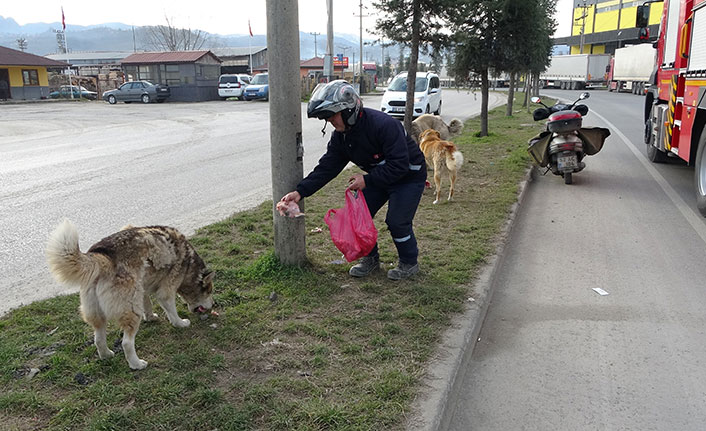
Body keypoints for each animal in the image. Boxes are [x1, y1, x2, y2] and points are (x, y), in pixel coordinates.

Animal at [45, 221, 213, 370]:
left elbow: (147, 304)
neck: (189, 263)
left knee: (98, 339)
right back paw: (136, 364)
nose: (213, 306)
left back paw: (106, 355)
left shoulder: (142, 288)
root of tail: (102, 258)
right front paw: (180, 323)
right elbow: (171, 310)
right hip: (131, 310)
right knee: (126, 343)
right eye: (210, 292)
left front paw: (150, 317)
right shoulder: (166, 291)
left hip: (99, 313)